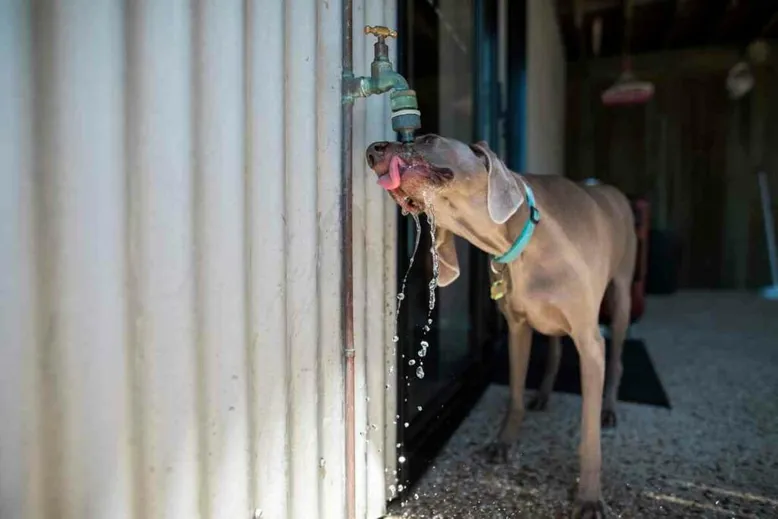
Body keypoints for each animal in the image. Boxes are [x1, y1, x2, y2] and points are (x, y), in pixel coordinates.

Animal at [366, 135, 632, 519]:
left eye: (429, 138)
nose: (372, 151)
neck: (519, 242)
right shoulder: (518, 328)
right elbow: (515, 394)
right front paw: (504, 443)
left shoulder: (589, 338)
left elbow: (589, 431)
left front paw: (589, 497)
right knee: (555, 348)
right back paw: (543, 394)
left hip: (623, 293)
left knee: (617, 359)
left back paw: (610, 408)